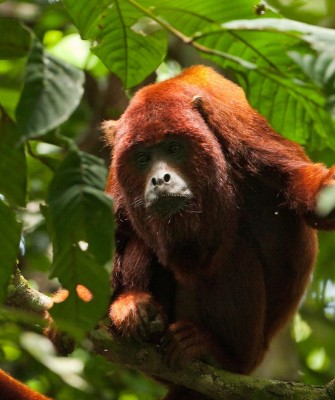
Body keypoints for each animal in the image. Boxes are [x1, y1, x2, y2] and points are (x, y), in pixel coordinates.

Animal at [103, 65, 334, 396]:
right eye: (143, 158)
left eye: (174, 148)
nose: (160, 179)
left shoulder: (241, 125)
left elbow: (301, 183)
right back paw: (136, 306)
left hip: (249, 352)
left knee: (233, 252)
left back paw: (214, 351)